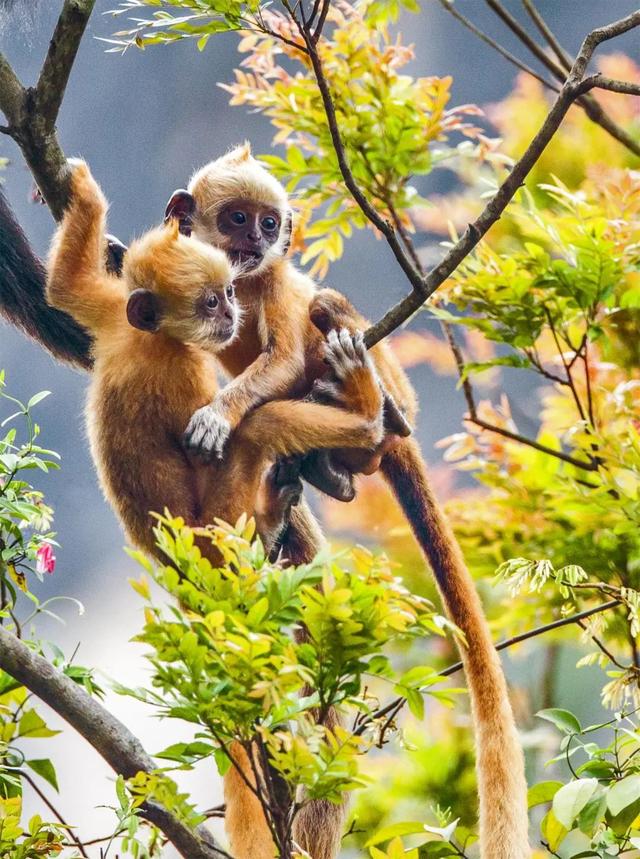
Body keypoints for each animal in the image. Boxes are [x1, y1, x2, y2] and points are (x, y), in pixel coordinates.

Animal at [47, 160, 384, 859]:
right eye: (210, 303)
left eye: (229, 294)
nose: (229, 314)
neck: (151, 340)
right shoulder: (184, 371)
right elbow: (221, 437)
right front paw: (226, 420)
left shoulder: (113, 319)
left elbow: (65, 289)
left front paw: (80, 187)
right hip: (221, 533)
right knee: (260, 432)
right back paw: (361, 421)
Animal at [164, 144, 528, 859]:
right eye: (238, 218)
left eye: (269, 224)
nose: (256, 242)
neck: (243, 284)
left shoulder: (274, 288)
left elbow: (279, 358)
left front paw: (221, 413)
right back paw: (328, 472)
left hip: (386, 387)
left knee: (331, 316)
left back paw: (372, 409)